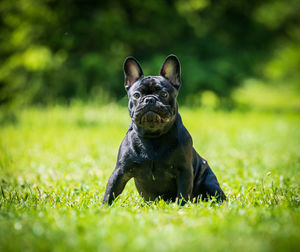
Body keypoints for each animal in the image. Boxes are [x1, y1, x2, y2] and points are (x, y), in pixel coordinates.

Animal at [101, 54, 225, 205]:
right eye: (136, 95)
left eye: (164, 94)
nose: (149, 99)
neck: (153, 136)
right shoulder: (120, 172)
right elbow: (111, 191)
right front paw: (103, 207)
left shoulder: (184, 171)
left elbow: (182, 193)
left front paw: (180, 207)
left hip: (210, 182)